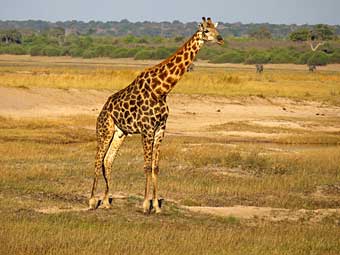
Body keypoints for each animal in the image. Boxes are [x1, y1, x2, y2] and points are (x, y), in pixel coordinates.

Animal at [89, 16, 224, 214]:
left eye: (216, 28)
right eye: (206, 31)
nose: (221, 39)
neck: (161, 90)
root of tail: (102, 110)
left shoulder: (160, 129)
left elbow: (156, 167)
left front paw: (156, 207)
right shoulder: (147, 129)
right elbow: (146, 166)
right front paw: (145, 205)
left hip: (120, 133)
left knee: (108, 161)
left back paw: (106, 201)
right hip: (105, 130)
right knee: (98, 160)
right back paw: (92, 201)